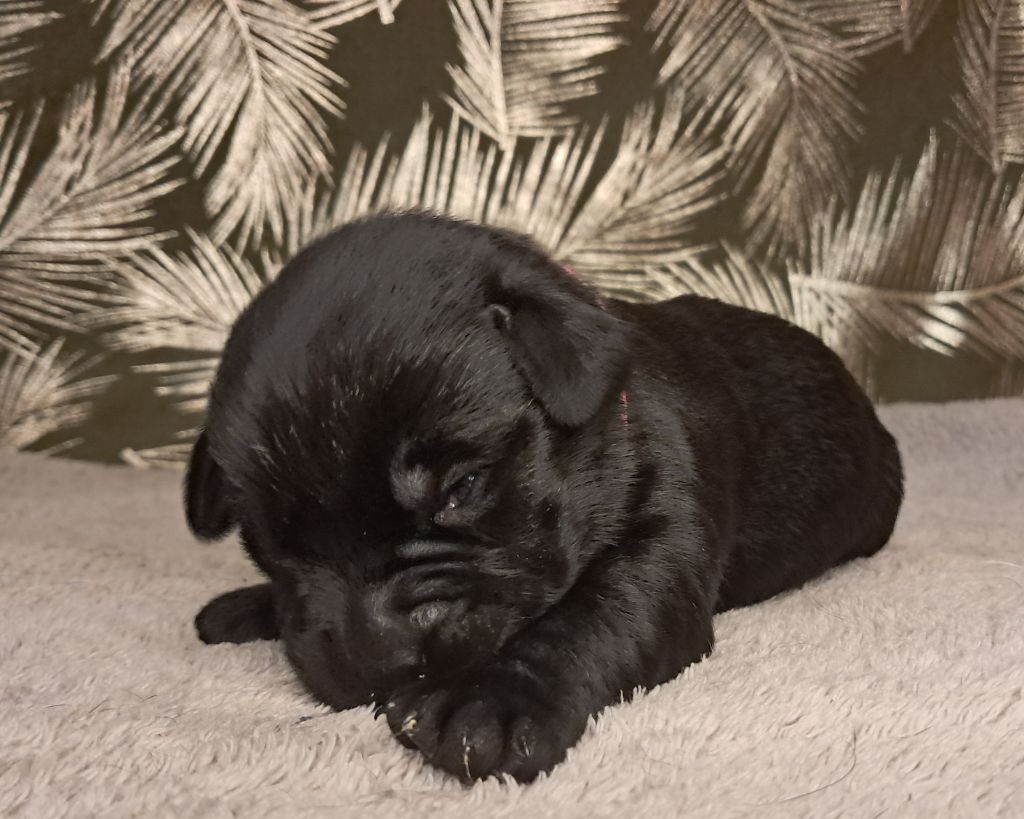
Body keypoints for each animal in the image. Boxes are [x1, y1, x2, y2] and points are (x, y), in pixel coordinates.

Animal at [186, 211, 903, 783]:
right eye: (266, 543)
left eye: (462, 489)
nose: (383, 660)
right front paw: (250, 604)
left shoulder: (663, 543)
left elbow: (589, 615)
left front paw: (490, 702)